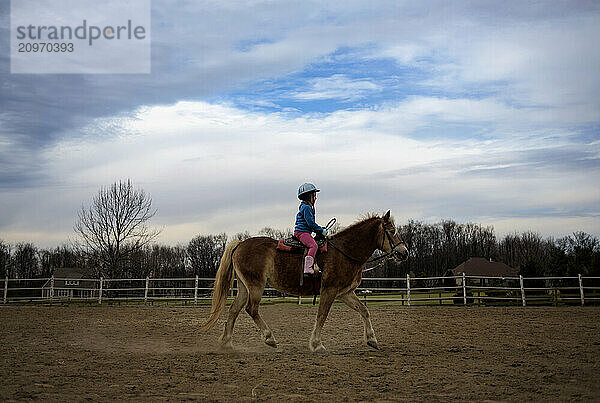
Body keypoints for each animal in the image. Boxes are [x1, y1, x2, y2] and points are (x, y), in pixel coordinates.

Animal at [200, 210, 408, 352]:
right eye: (392, 231)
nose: (404, 252)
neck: (344, 251)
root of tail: (240, 244)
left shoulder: (344, 293)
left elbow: (364, 310)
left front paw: (372, 339)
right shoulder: (329, 290)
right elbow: (322, 315)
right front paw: (316, 344)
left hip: (245, 287)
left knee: (234, 310)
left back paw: (226, 343)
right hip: (255, 286)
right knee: (251, 309)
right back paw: (269, 338)